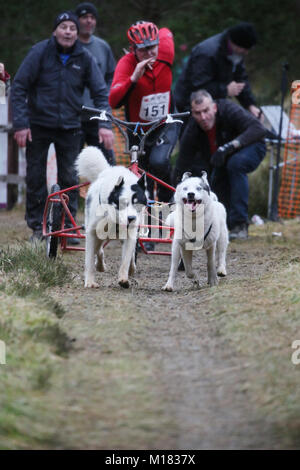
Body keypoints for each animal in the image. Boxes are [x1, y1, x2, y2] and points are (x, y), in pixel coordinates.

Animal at [75, 147, 147, 288]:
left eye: (137, 203)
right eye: (123, 203)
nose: (131, 218)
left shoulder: (130, 234)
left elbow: (126, 260)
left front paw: (124, 279)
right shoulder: (92, 232)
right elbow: (89, 260)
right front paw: (90, 281)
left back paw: (130, 268)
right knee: (98, 249)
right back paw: (100, 266)